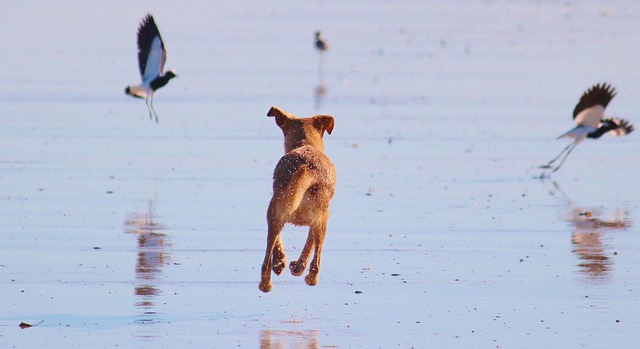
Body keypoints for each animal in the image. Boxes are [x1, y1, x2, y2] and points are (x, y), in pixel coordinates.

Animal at [260, 105, 338, 290]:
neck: (306, 144)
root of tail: (308, 169)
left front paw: (283, 263)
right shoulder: (321, 217)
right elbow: (310, 244)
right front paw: (295, 266)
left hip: (277, 210)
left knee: (267, 259)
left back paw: (268, 280)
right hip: (319, 218)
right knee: (316, 261)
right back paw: (308, 277)